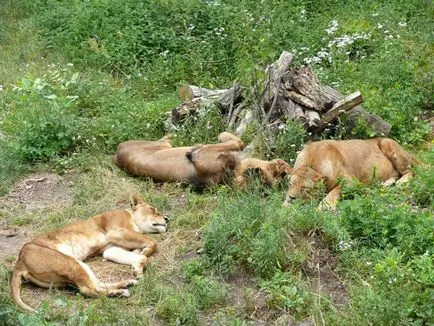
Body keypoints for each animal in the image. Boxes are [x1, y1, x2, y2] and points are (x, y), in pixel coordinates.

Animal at [8, 192, 168, 312]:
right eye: (154, 209)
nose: (167, 218)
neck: (132, 219)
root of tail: (19, 261)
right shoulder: (117, 231)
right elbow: (152, 244)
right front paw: (143, 254)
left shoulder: (110, 249)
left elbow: (137, 256)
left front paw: (137, 267)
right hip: (69, 262)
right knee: (89, 289)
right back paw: (121, 292)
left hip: (79, 265)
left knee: (97, 283)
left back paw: (126, 284)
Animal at [284, 138, 418, 209]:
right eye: (291, 184)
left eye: (305, 188)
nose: (291, 198)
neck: (311, 162)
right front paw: (285, 203)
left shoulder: (352, 183)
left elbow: (335, 191)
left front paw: (325, 206)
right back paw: (385, 184)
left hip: (387, 143)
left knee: (411, 171)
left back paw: (402, 182)